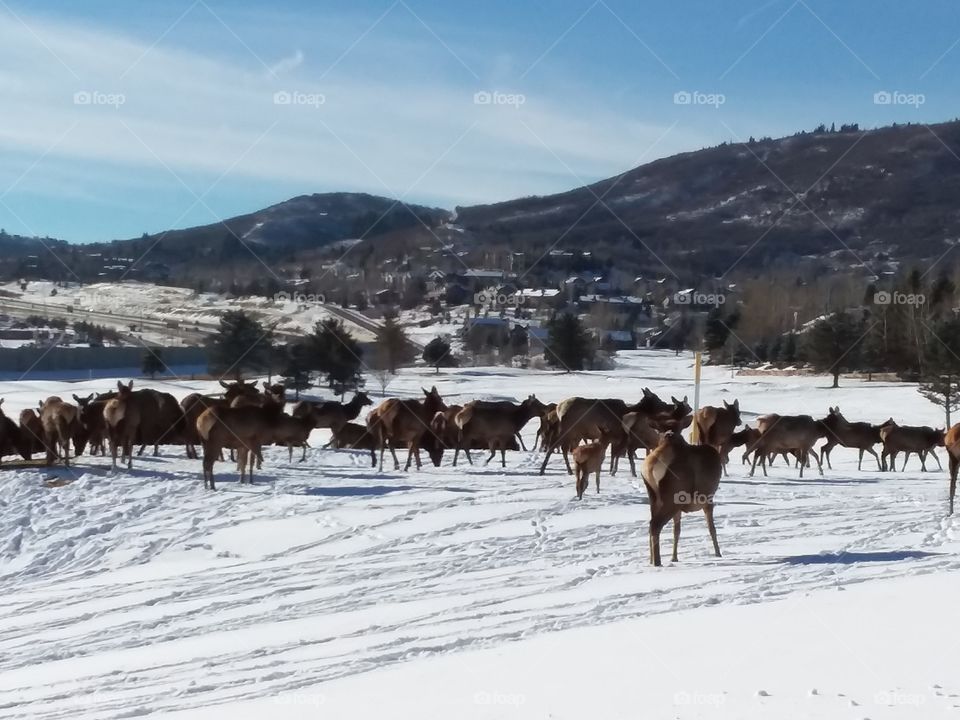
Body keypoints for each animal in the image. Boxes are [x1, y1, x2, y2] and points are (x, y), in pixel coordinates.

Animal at [641, 431, 722, 566]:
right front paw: (718, 554)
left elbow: (677, 531)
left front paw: (674, 557)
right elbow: (712, 528)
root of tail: (651, 466)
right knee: (655, 524)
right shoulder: (708, 501)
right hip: (672, 497)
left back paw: (651, 560)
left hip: (653, 496)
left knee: (651, 524)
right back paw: (658, 562)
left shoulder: (679, 508)